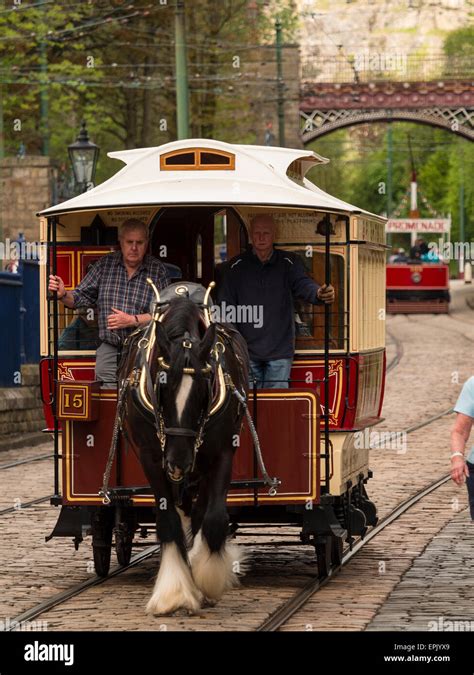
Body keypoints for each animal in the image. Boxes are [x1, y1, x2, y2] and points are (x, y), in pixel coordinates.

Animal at [119, 288, 248, 616]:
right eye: (161, 388)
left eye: (205, 389)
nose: (178, 461)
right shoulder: (151, 459)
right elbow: (168, 522)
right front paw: (174, 593)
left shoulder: (222, 453)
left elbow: (214, 519)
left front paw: (207, 582)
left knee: (201, 513)